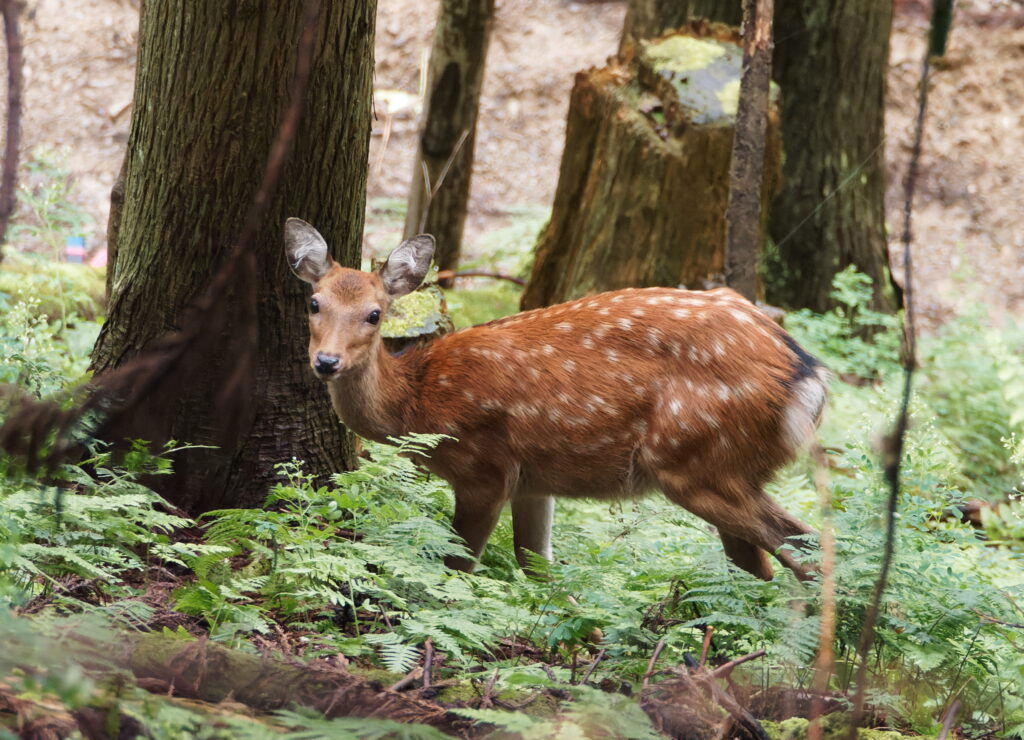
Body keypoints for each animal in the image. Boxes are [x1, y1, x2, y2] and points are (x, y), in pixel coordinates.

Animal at [284, 216, 827, 581]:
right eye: (314, 303)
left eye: (374, 314)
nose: (326, 361)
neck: (418, 401)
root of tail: (809, 376)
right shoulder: (534, 479)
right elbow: (539, 566)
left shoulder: (485, 469)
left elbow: (459, 564)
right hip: (722, 467)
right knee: (763, 561)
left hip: (696, 461)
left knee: (810, 546)